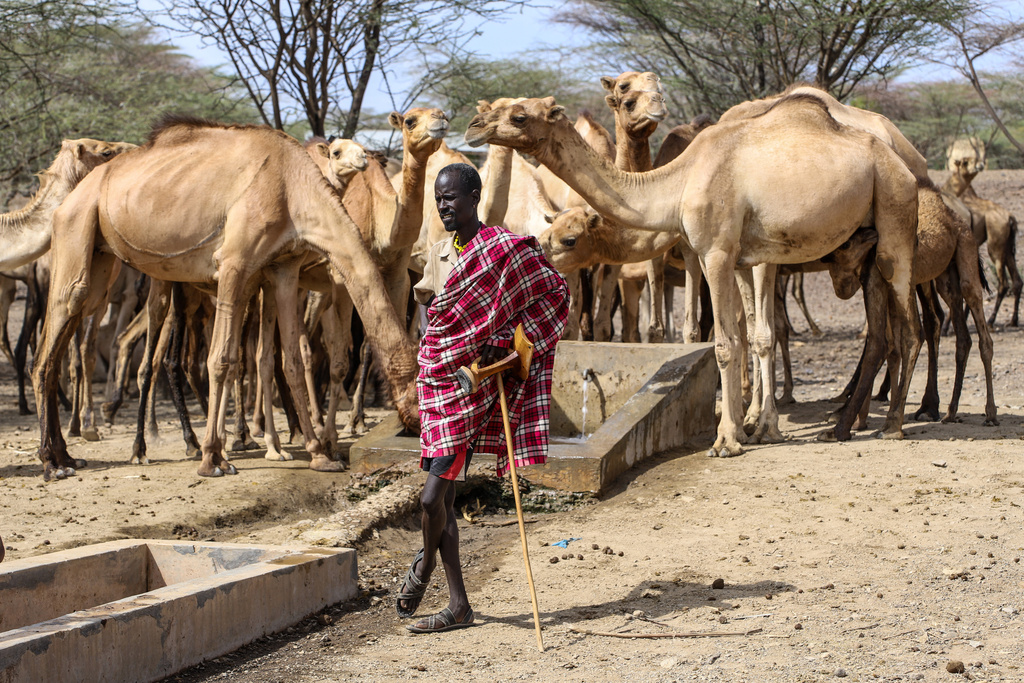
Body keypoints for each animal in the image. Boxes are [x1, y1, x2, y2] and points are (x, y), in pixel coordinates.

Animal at [34, 117, 420, 481]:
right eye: (423, 386)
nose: (415, 425)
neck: (294, 186)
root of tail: (69, 197)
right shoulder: (234, 264)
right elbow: (220, 359)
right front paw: (212, 459)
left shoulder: (282, 269)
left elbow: (290, 362)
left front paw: (319, 455)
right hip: (77, 229)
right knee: (53, 341)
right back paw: (57, 461)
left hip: (101, 260)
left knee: (64, 339)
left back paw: (68, 456)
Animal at [466, 95, 921, 457]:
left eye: (519, 116)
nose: (473, 126)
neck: (677, 181)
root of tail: (904, 161)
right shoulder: (739, 256)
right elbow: (751, 336)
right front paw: (754, 429)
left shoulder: (716, 252)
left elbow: (724, 343)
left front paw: (726, 441)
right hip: (872, 238)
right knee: (885, 327)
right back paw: (854, 422)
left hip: (895, 211)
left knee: (908, 327)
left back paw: (893, 424)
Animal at [943, 137, 1021, 326]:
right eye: (965, 161)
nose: (980, 165)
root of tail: (1010, 218)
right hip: (1007, 248)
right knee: (1017, 281)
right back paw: (1012, 320)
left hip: (995, 248)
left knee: (1003, 283)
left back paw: (991, 320)